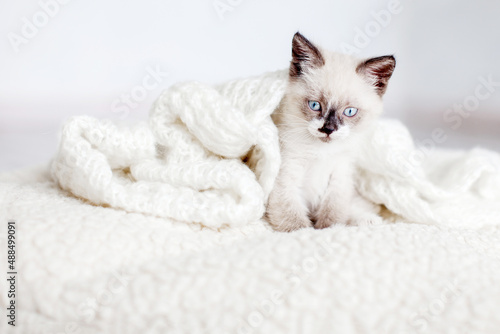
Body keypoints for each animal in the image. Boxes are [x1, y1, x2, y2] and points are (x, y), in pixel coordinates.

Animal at [268, 32, 396, 232]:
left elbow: (333, 215)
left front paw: (328, 229)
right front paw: (308, 232)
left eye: (349, 111)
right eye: (315, 105)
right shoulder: (286, 179)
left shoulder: (339, 176)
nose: (328, 129)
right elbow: (296, 224)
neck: (321, 152)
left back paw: (369, 220)